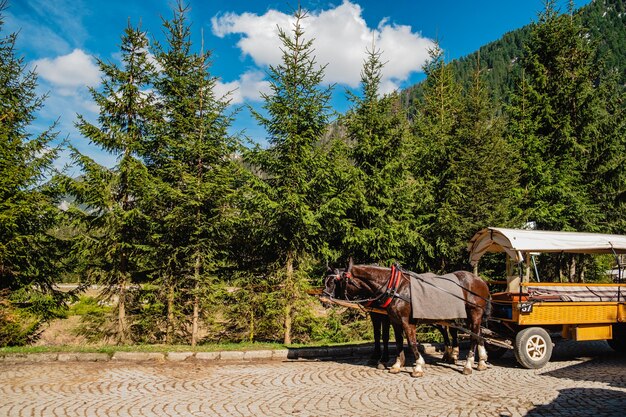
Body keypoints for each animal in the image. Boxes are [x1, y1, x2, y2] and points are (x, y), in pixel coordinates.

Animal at [324, 258, 490, 376]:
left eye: (334, 281)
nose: (324, 299)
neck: (394, 287)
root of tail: (480, 280)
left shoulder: (405, 321)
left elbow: (410, 342)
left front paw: (418, 366)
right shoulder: (394, 320)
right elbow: (397, 342)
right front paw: (397, 365)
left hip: (474, 313)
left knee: (472, 336)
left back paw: (467, 364)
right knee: (477, 333)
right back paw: (480, 360)